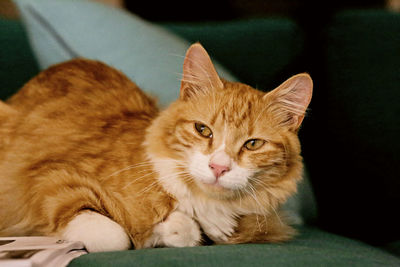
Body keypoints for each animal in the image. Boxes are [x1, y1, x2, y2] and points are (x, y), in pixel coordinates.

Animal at [0, 43, 312, 253]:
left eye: (253, 143)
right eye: (203, 130)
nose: (219, 167)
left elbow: (187, 233)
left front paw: (172, 230)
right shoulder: (49, 175)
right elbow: (114, 236)